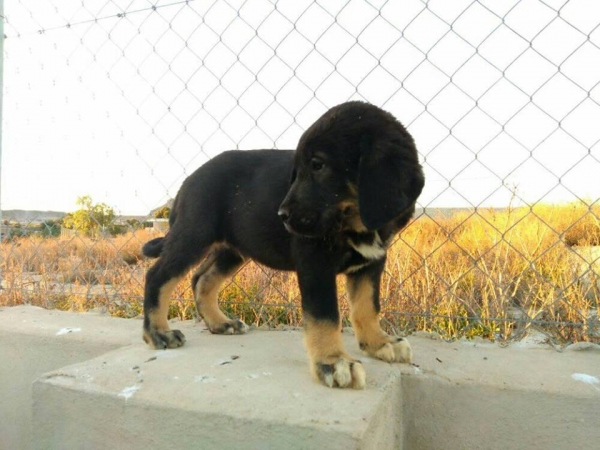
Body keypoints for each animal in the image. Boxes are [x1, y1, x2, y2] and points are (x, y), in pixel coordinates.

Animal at [142, 100, 424, 388]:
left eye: (318, 165)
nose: (282, 216)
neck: (357, 224)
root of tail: (188, 181)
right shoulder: (314, 262)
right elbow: (324, 316)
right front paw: (332, 361)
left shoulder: (372, 261)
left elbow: (367, 306)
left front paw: (379, 343)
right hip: (194, 233)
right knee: (158, 276)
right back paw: (158, 333)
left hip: (232, 248)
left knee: (202, 278)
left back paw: (220, 323)